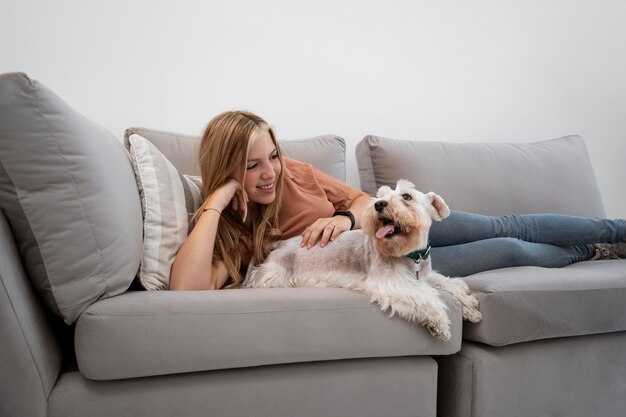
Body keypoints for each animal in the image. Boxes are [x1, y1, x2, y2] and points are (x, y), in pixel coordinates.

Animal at [241, 180, 480, 342]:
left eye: (407, 196)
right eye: (381, 195)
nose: (379, 204)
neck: (410, 255)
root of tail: (280, 244)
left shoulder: (424, 276)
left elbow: (447, 284)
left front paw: (470, 305)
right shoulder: (390, 284)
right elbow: (427, 297)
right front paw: (441, 324)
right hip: (273, 276)